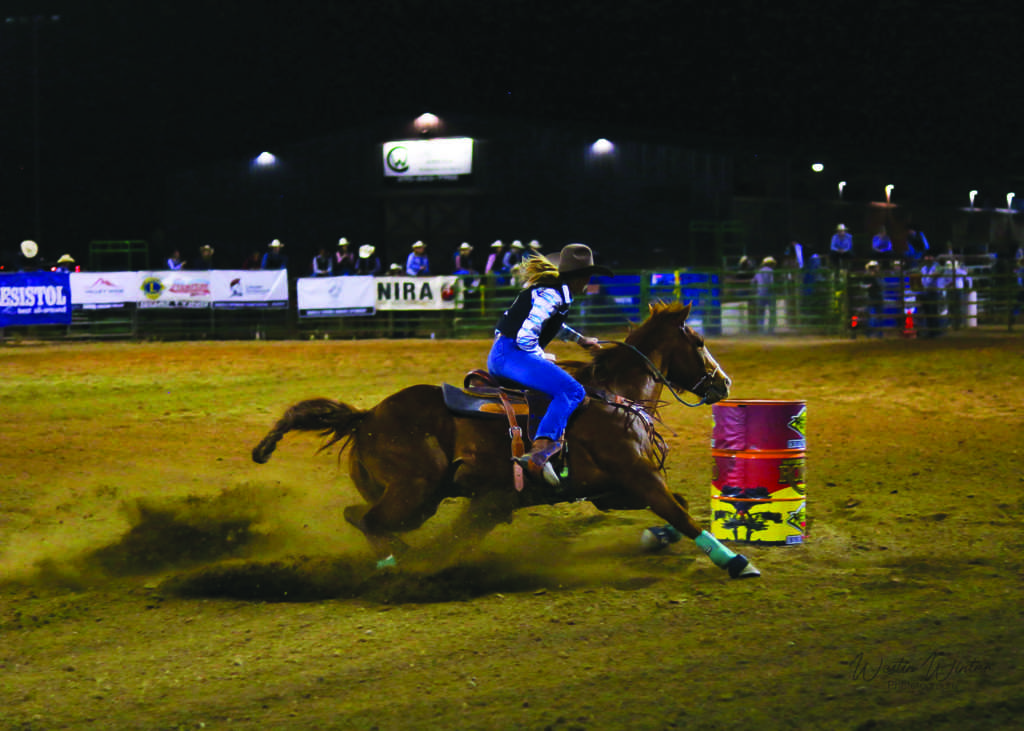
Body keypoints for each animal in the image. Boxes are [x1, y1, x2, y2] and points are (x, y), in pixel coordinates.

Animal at [249, 298, 761, 577]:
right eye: (698, 342)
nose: (724, 384)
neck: (613, 395)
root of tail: (366, 416)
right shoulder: (637, 476)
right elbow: (680, 512)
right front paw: (736, 562)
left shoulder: (610, 490)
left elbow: (677, 507)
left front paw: (655, 538)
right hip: (415, 493)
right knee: (366, 520)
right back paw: (404, 563)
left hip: (423, 497)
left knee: (368, 519)